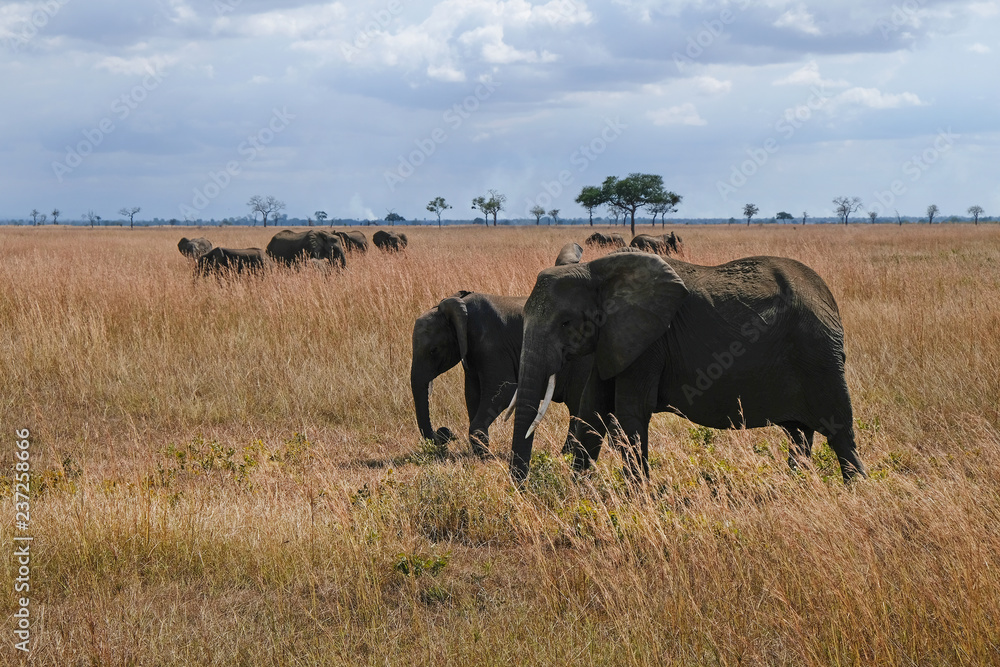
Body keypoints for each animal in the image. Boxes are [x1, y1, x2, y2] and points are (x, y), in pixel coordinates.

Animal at [410, 242, 593, 455]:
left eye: (434, 350)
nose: (447, 433)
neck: (461, 308)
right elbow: (472, 394)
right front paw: (480, 451)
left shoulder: (492, 344)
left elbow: (503, 390)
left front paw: (483, 453)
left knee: (576, 406)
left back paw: (567, 453)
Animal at [508, 251, 867, 485]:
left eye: (566, 323)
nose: (519, 486)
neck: (597, 270)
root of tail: (827, 295)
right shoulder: (613, 339)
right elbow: (591, 409)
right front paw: (580, 492)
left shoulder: (649, 341)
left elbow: (629, 412)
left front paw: (639, 497)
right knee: (799, 434)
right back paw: (796, 486)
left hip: (819, 354)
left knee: (839, 431)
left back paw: (855, 489)